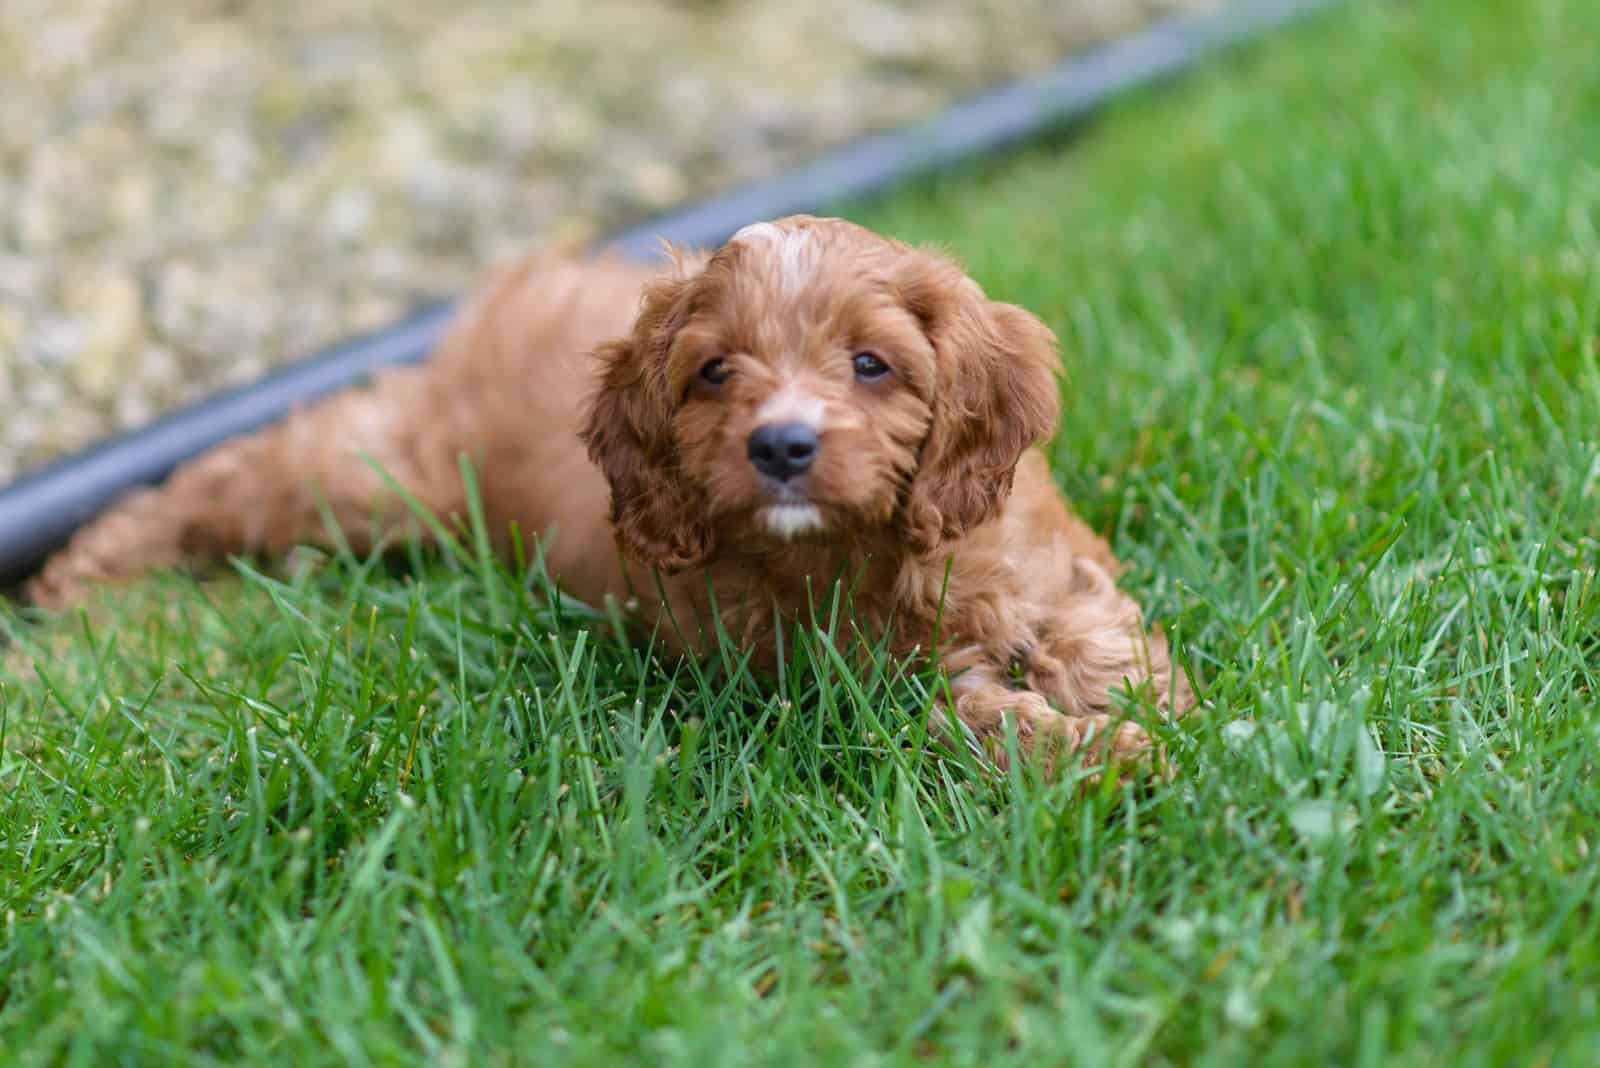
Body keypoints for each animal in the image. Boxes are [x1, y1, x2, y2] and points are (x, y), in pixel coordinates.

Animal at [31, 217, 1196, 767]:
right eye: (715, 372)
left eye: (872, 365)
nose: (782, 446)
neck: (857, 549)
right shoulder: (837, 688)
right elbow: (966, 719)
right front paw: (1113, 756)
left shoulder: (1035, 551)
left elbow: (1089, 622)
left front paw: (1156, 704)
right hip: (376, 477)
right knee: (226, 477)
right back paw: (78, 582)